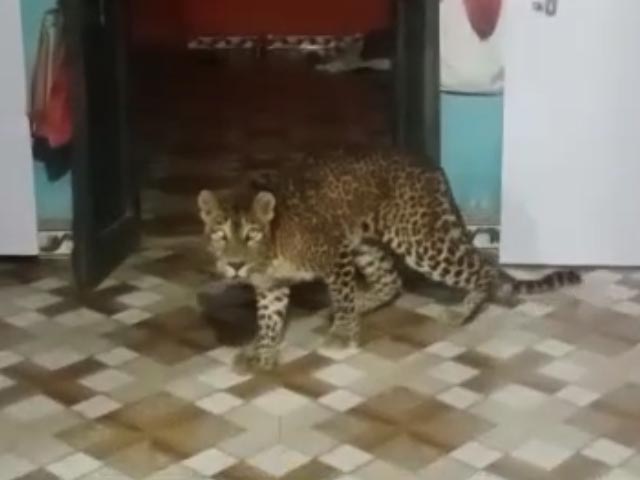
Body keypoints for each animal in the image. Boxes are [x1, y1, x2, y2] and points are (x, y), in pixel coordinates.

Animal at [197, 148, 580, 371]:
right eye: (219, 234)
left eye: (251, 234)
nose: (235, 265)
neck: (270, 249)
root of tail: (429, 165)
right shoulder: (272, 286)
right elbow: (269, 321)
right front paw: (262, 351)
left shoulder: (335, 255)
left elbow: (342, 295)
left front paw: (342, 334)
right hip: (367, 244)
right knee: (389, 282)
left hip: (420, 240)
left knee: (482, 269)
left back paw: (462, 311)